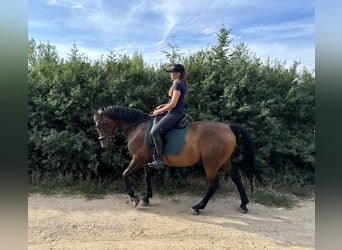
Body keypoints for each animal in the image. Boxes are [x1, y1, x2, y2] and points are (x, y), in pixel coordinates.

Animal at [92, 105, 264, 213]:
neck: (137, 127)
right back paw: (243, 204)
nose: (103, 145)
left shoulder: (138, 158)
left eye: (99, 125)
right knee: (236, 178)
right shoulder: (146, 160)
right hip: (223, 161)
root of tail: (228, 127)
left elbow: (125, 174)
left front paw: (134, 198)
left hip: (211, 163)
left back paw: (198, 207)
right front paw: (146, 198)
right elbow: (147, 177)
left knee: (214, 184)